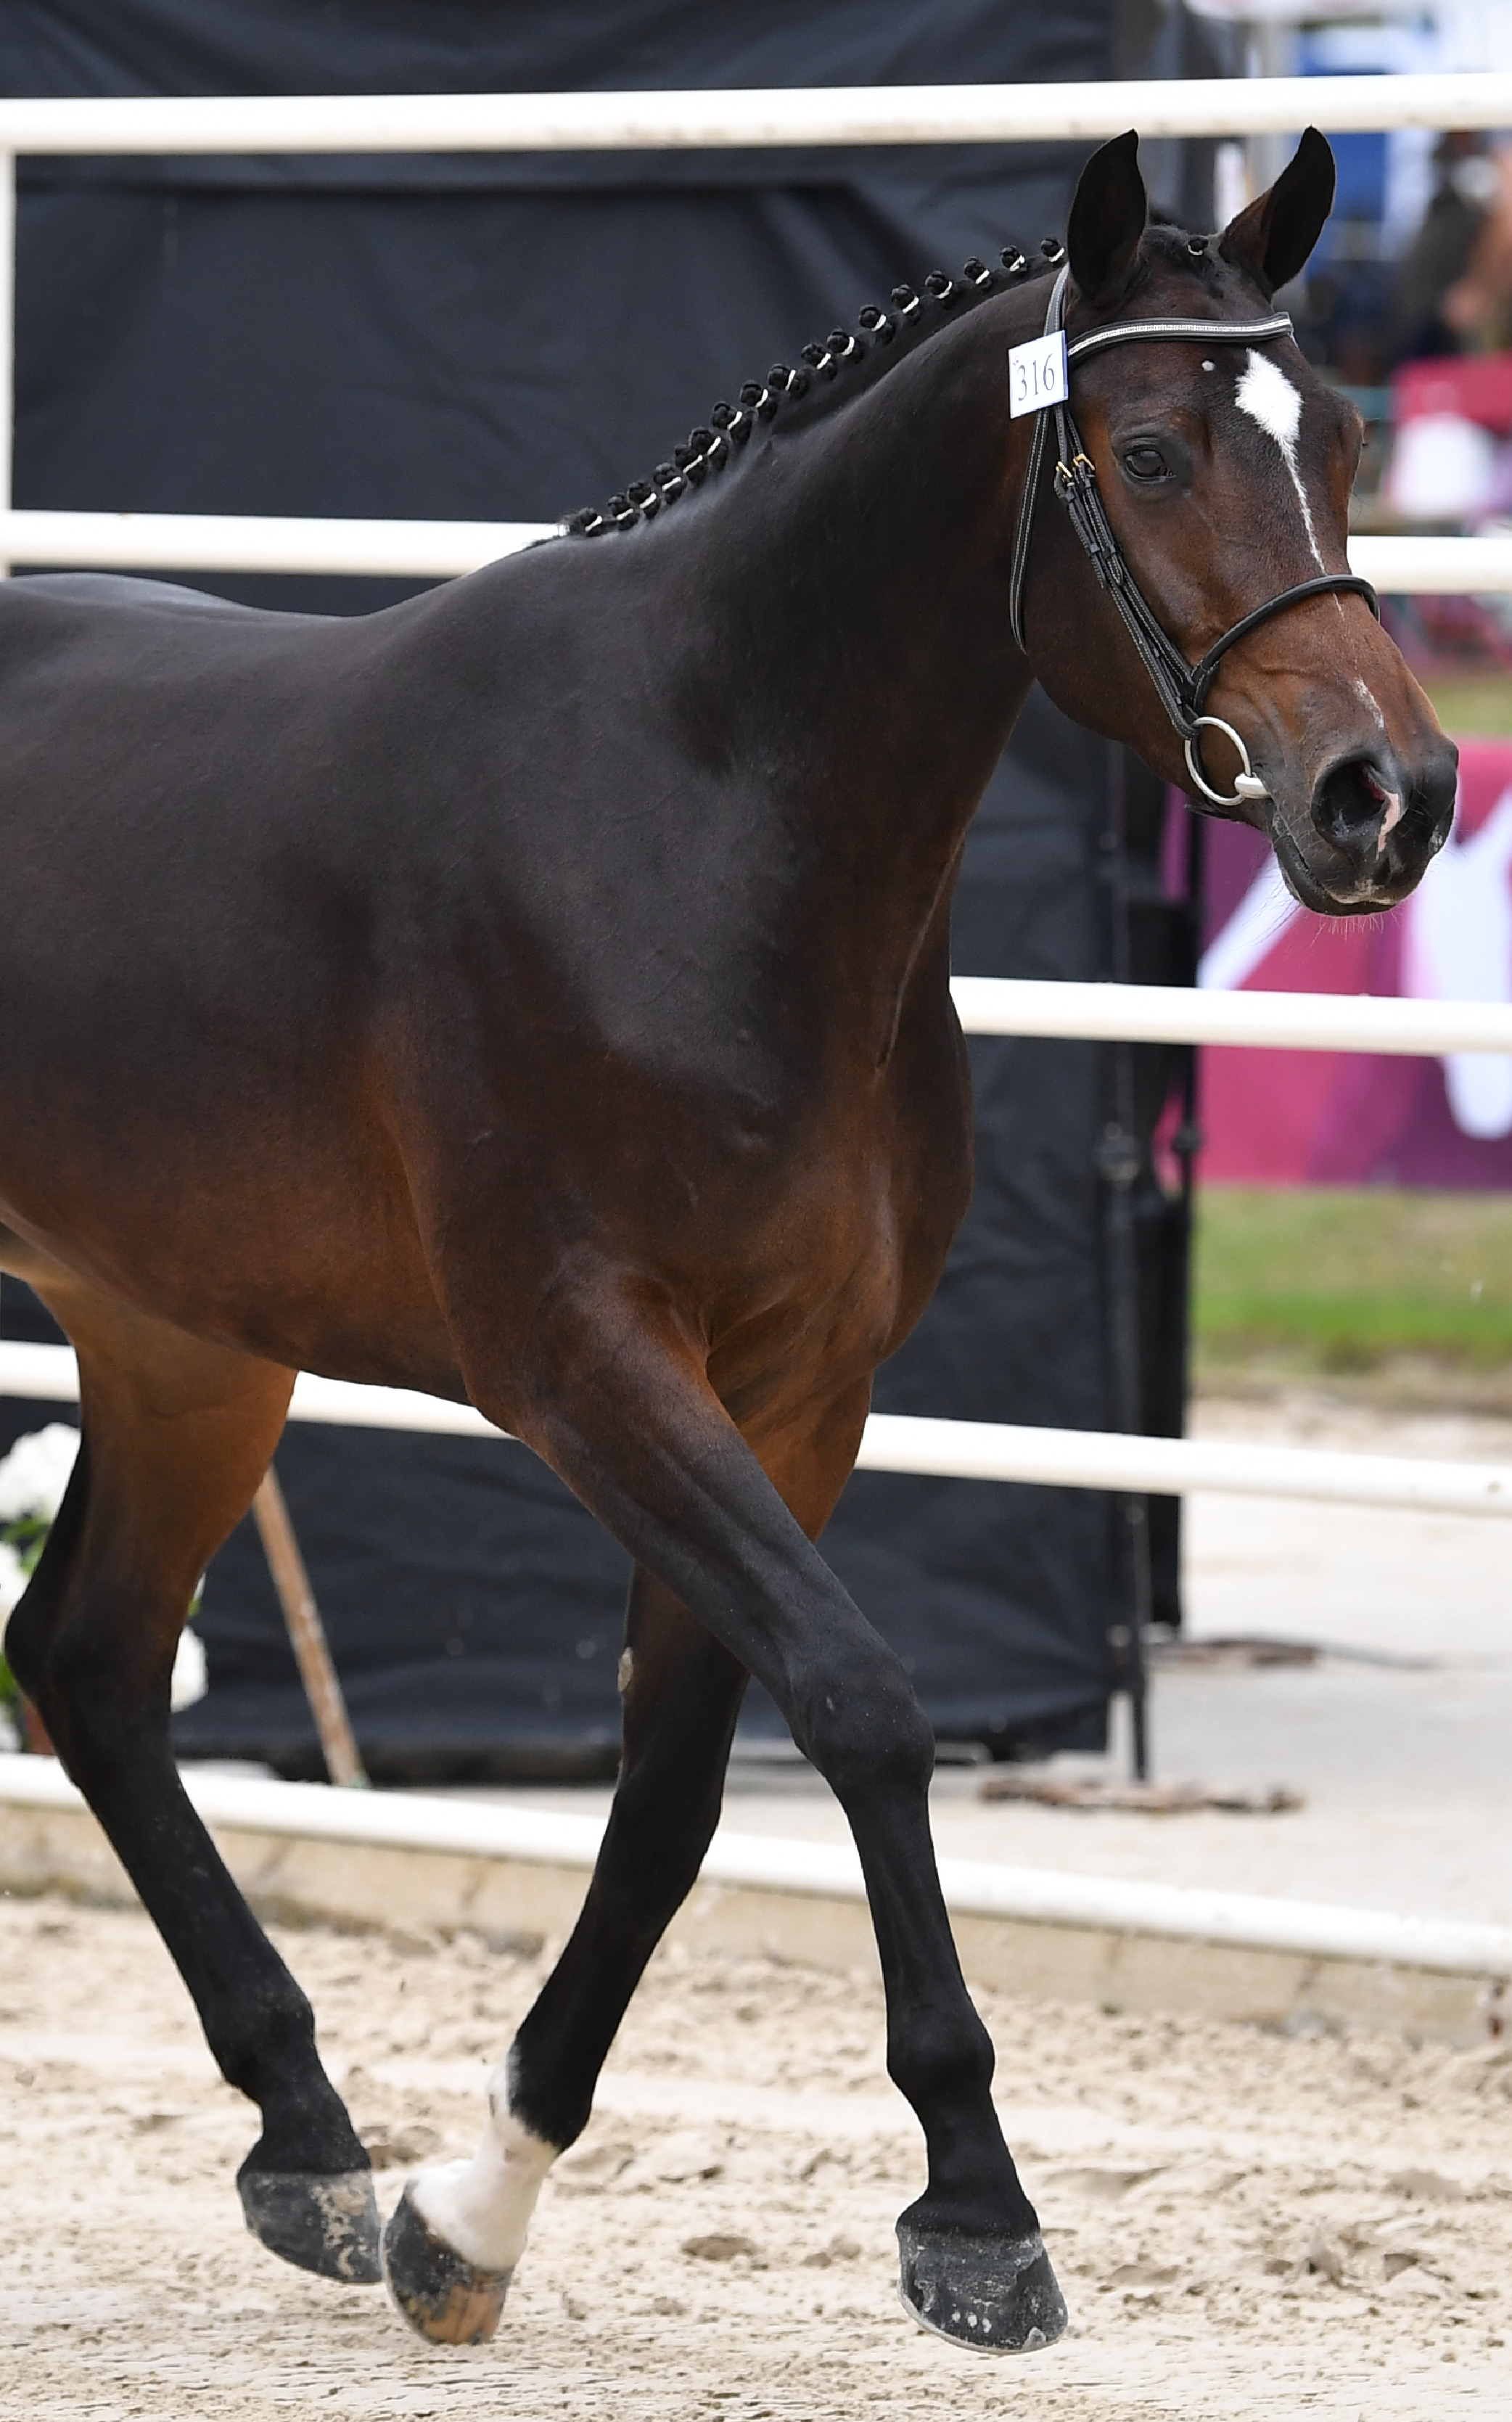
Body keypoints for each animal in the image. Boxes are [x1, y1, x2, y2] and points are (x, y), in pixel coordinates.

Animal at [0, 123, 1453, 2354]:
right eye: (1140, 448)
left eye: (1347, 433)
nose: (1387, 795)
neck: (686, 811)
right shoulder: (583, 1364)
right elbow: (857, 1702)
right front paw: (973, 2208)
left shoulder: (790, 1390)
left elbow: (675, 1788)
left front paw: (464, 2212)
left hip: (184, 1341)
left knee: (80, 1658)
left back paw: (306, 2136)